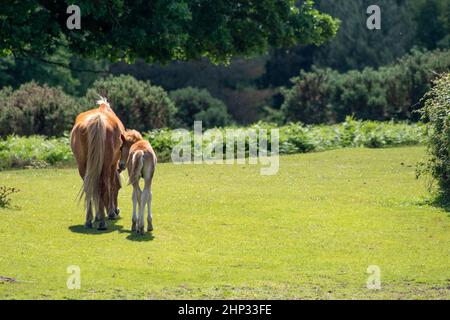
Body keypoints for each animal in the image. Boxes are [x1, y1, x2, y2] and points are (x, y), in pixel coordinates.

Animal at [71, 97, 125, 230]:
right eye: (119, 188)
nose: (117, 210)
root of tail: (97, 120)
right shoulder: (112, 165)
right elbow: (111, 185)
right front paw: (109, 212)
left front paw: (97, 215)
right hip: (105, 165)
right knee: (103, 185)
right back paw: (102, 222)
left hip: (83, 166)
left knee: (89, 186)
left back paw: (88, 220)